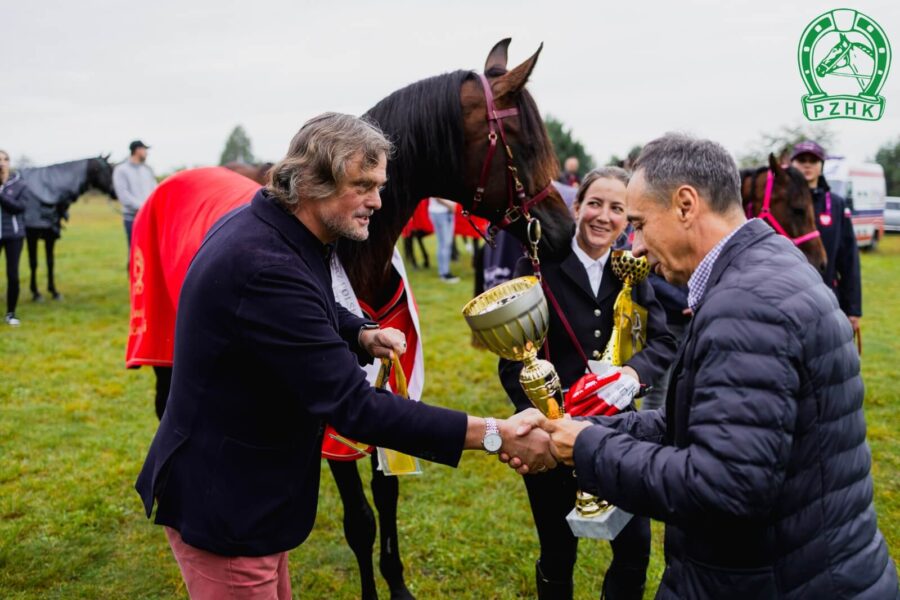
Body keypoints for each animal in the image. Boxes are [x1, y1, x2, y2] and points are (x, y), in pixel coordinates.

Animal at [20, 157, 116, 300]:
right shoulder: (32, 236)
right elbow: (34, 263)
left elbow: (50, 262)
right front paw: (36, 293)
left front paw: (54, 291)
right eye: (107, 170)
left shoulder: (50, 237)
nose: (115, 192)